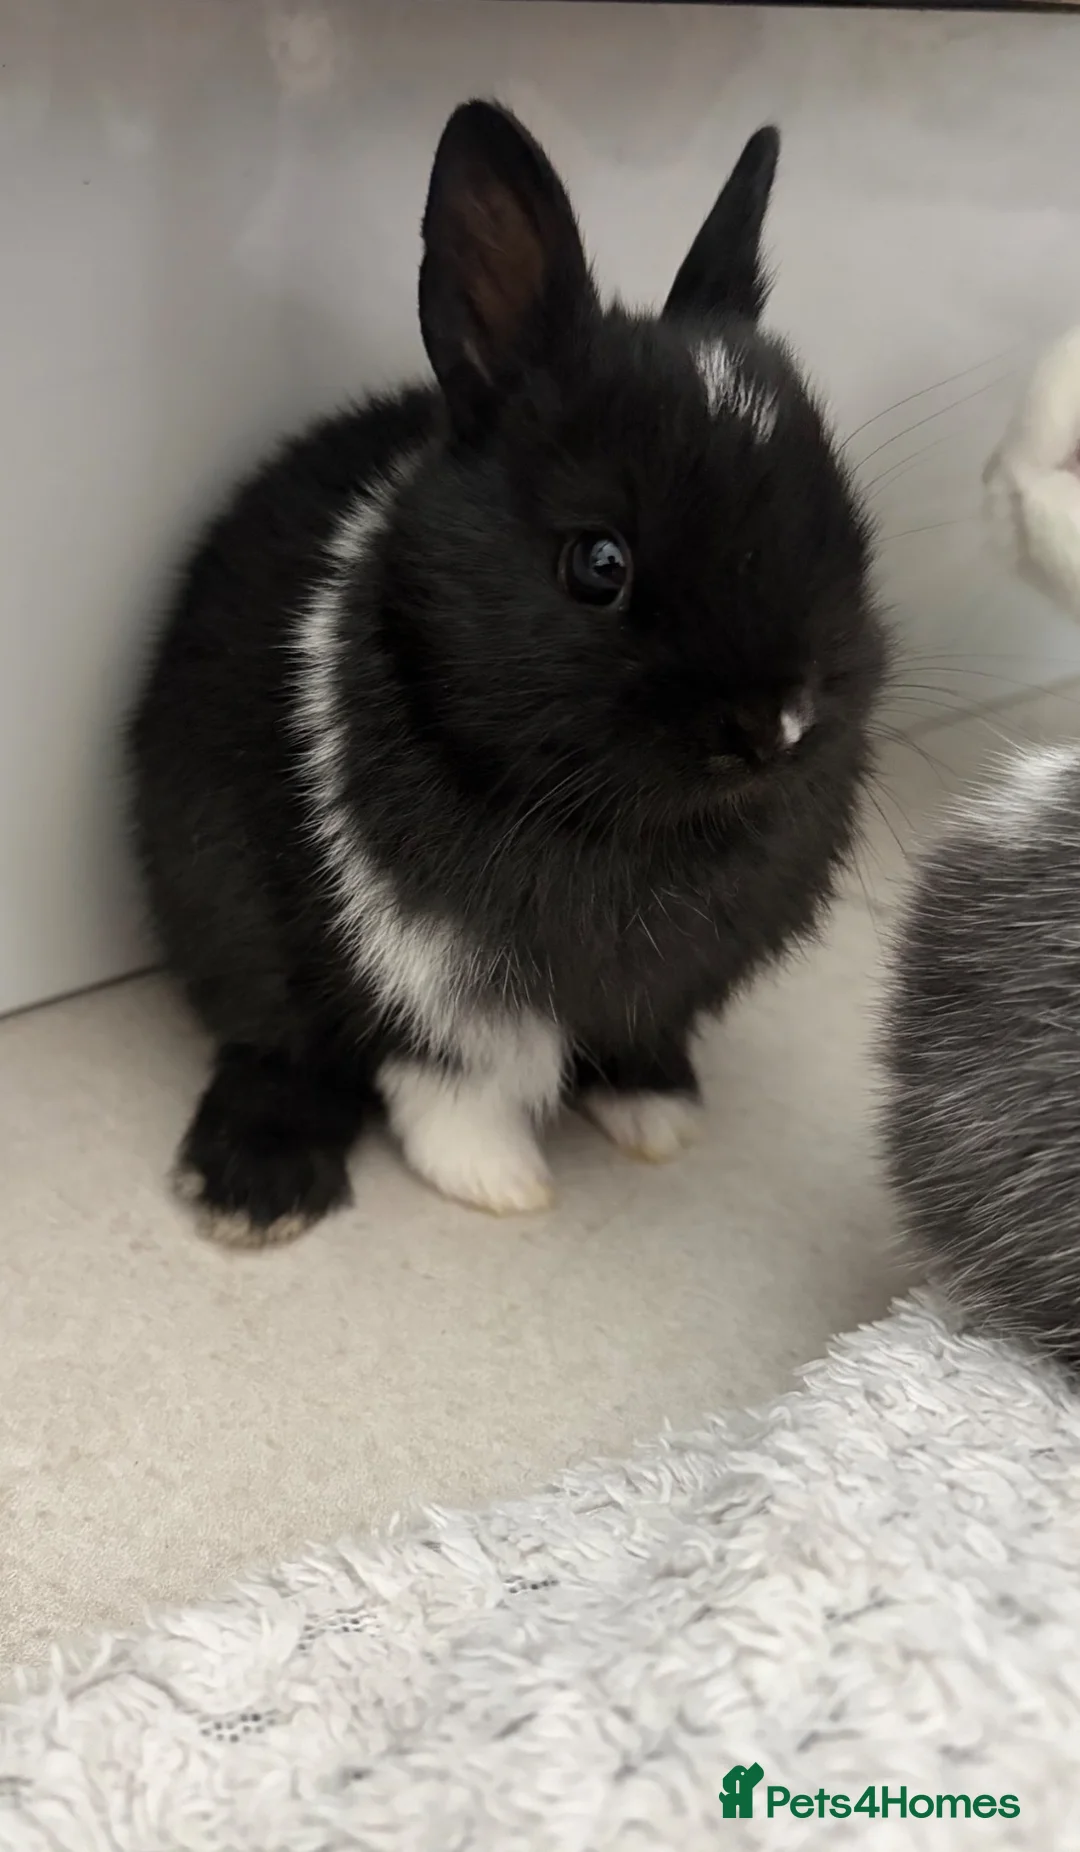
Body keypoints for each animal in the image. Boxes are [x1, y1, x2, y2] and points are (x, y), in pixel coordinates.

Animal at [128, 99, 886, 1246]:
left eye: (836, 514)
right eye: (598, 563)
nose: (779, 725)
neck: (632, 836)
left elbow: (634, 1029)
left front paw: (660, 1115)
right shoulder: (423, 969)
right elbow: (449, 1079)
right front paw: (500, 1183)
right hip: (219, 900)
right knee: (277, 1045)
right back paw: (254, 1190)